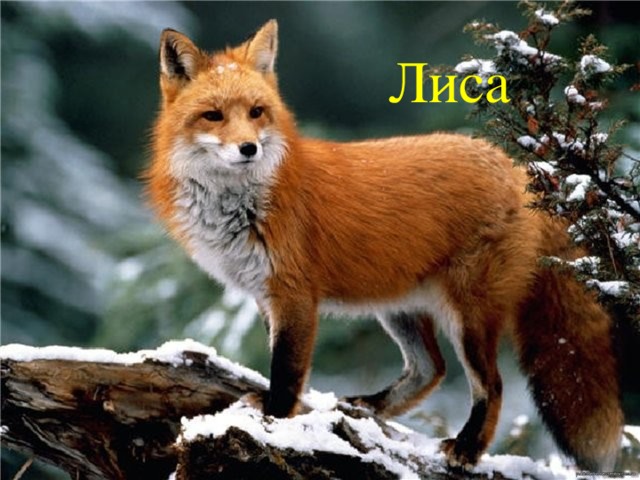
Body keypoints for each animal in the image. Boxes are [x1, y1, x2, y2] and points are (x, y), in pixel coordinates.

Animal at [146, 20, 623, 472]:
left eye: (256, 112)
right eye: (213, 116)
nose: (249, 148)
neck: (242, 205)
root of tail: (518, 167)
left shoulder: (294, 295)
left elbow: (286, 371)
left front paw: (276, 421)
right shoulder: (265, 295)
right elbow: (283, 365)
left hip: (468, 316)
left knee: (492, 384)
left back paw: (467, 449)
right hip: (398, 307)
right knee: (430, 369)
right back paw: (370, 408)